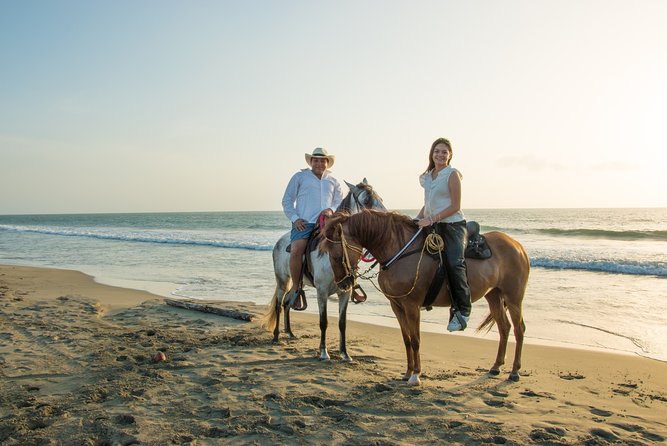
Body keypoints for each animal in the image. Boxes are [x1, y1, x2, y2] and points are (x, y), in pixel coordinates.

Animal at [260, 179, 386, 360]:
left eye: (380, 198)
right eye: (367, 200)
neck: (335, 252)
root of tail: (279, 242)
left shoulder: (345, 291)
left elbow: (342, 323)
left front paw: (345, 354)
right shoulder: (322, 292)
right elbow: (323, 322)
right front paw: (324, 352)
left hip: (297, 284)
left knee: (286, 303)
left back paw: (290, 333)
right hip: (283, 280)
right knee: (278, 304)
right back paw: (276, 336)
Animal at [320, 211, 528, 386]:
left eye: (337, 256)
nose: (344, 285)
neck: (398, 251)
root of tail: (517, 245)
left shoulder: (412, 306)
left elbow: (415, 340)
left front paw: (415, 375)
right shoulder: (397, 305)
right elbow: (406, 339)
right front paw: (407, 373)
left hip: (513, 297)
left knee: (519, 329)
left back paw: (514, 372)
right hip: (494, 295)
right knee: (504, 328)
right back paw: (496, 366)